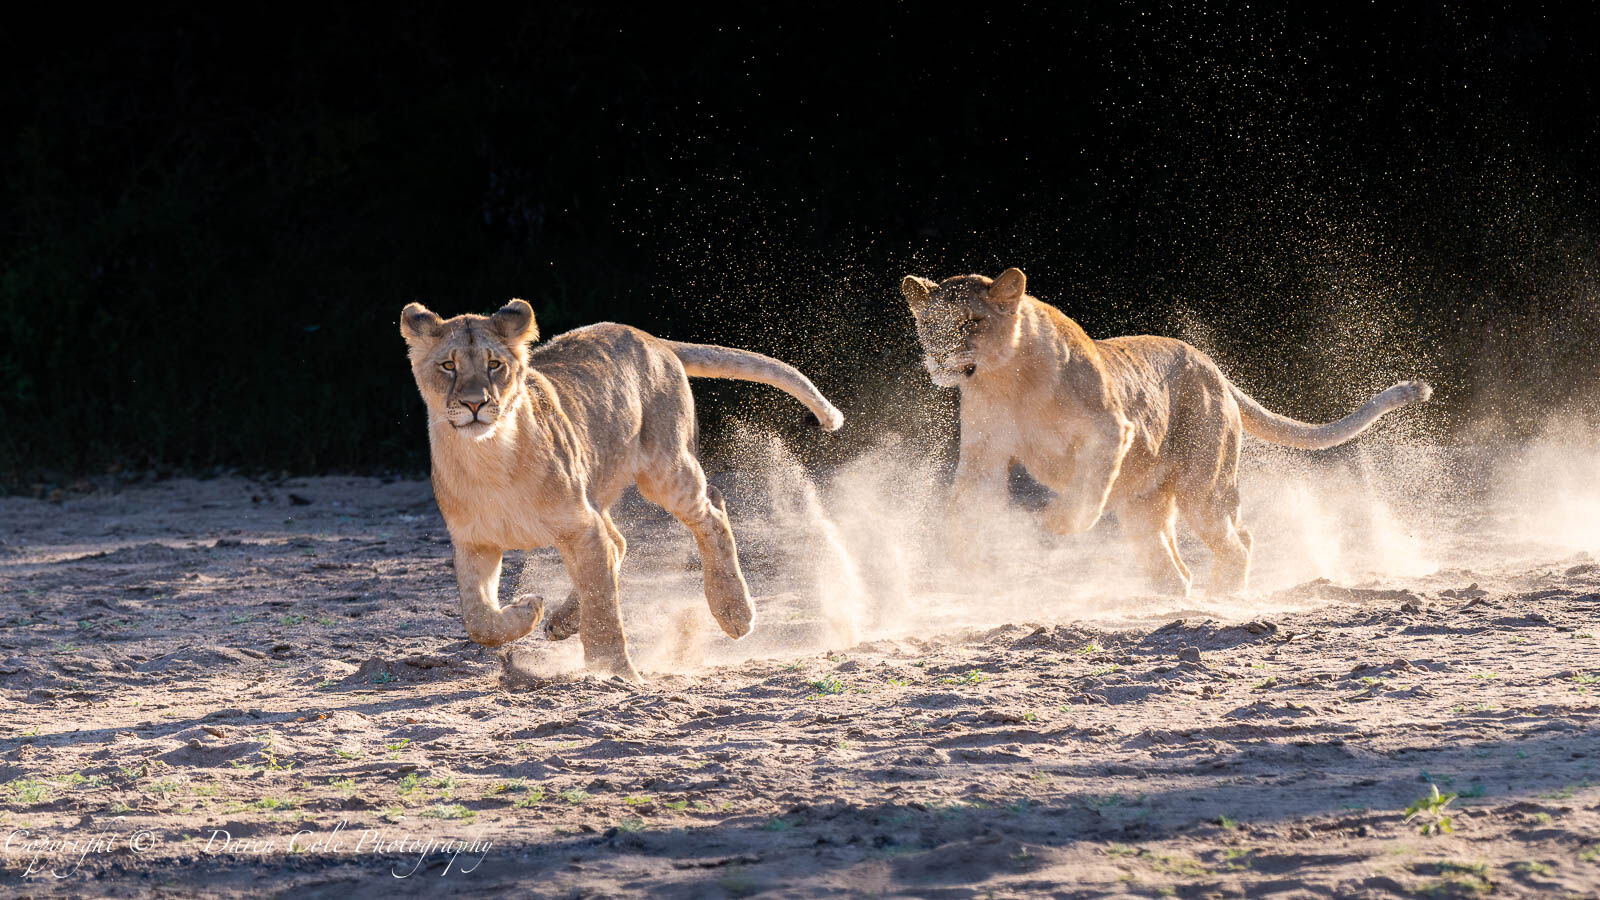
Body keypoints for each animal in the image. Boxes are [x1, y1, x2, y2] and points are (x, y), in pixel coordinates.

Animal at [400, 299, 844, 681]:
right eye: (448, 366)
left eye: (495, 365)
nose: (475, 404)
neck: (487, 458)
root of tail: (652, 338)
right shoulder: (474, 542)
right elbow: (479, 621)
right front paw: (530, 609)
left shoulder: (580, 525)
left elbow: (603, 606)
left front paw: (614, 673)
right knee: (619, 542)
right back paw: (562, 621)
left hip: (666, 469)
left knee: (711, 511)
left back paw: (734, 611)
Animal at [900, 268, 1431, 597]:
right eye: (930, 324)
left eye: (971, 322)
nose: (941, 357)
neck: (1004, 379)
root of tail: (1215, 370)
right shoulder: (984, 456)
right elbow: (962, 507)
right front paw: (964, 560)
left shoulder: (1112, 429)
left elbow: (1085, 494)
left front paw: (1052, 523)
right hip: (1144, 505)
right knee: (1176, 561)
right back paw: (1172, 596)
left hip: (1204, 484)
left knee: (1238, 539)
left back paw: (1224, 595)